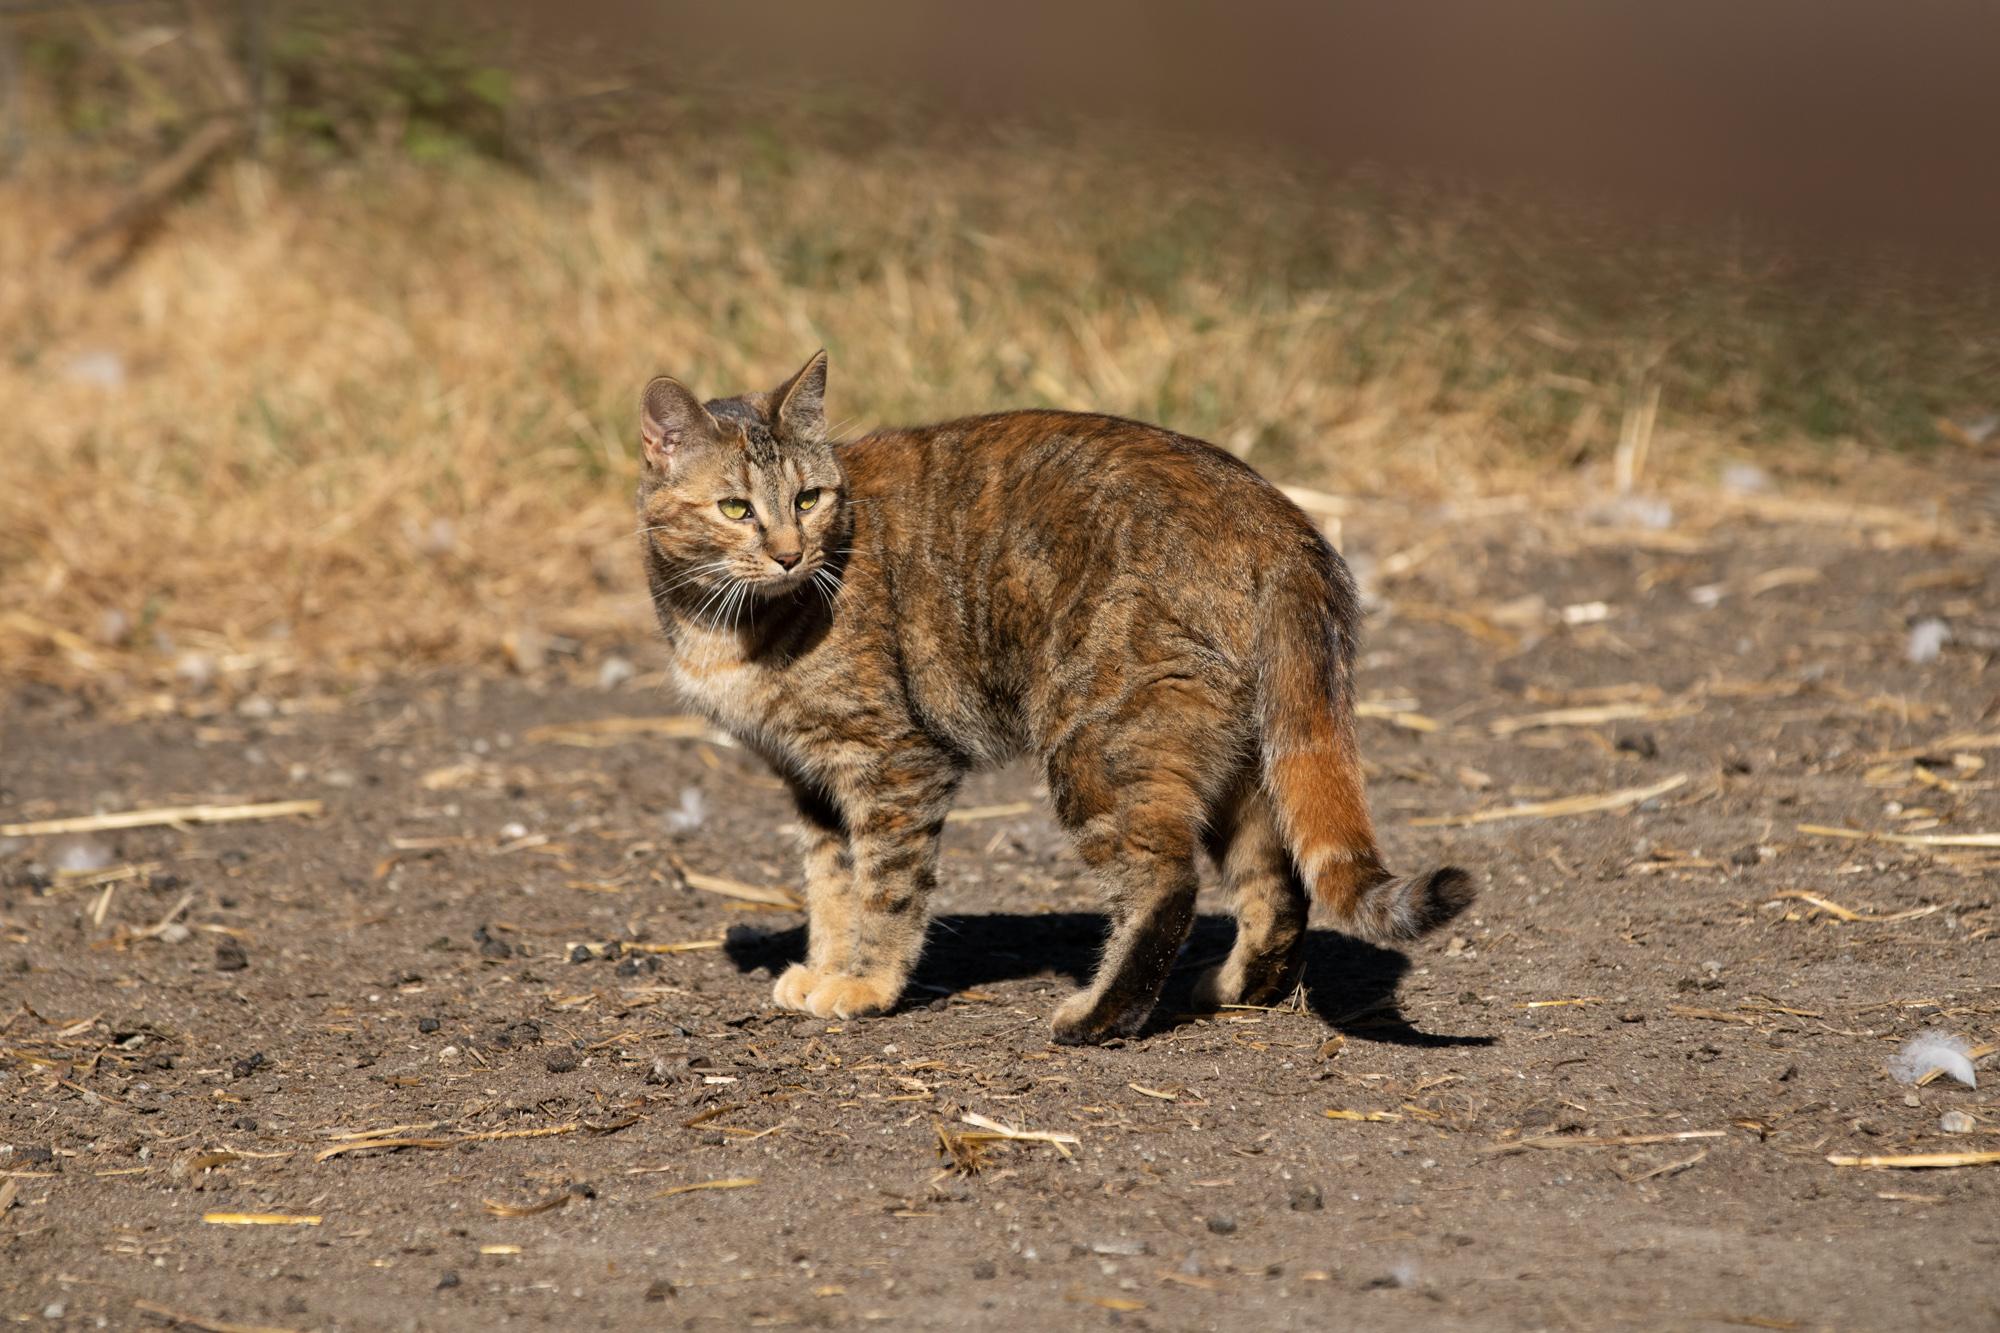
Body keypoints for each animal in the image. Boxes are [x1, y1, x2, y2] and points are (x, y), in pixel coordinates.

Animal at [636, 350, 1472, 1040]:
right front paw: (828, 968)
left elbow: (885, 889)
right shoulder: (812, 782)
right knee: (1276, 880)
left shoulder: (895, 764)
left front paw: (865, 984)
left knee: (1165, 885)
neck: (726, 624)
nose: (789, 553)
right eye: (736, 508)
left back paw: (1097, 1016)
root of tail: (1277, 518)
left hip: (1097, 745)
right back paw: (1238, 988)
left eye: (809, 498)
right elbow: (831, 886)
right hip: (1228, 755)